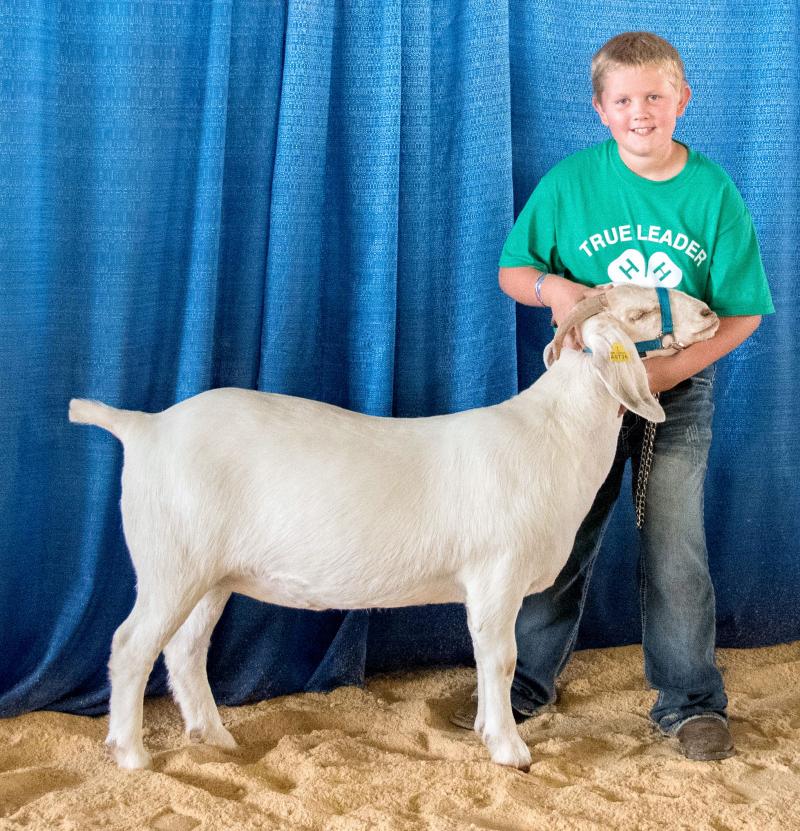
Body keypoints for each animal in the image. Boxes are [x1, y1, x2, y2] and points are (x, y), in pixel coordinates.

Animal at [69, 285, 718, 771]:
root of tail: (144, 427)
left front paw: (483, 727)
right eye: (638, 311)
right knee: (130, 646)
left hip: (210, 576)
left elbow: (487, 659)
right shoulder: (497, 576)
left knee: (184, 650)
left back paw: (218, 738)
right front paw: (509, 750)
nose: (710, 313)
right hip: (170, 565)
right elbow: (502, 658)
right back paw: (131, 755)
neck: (550, 436)